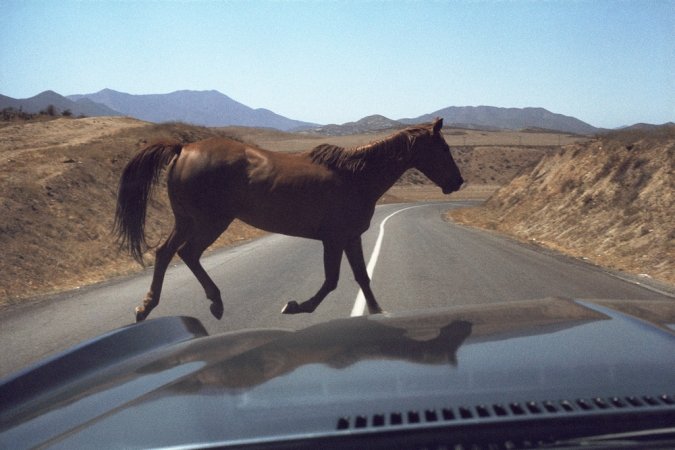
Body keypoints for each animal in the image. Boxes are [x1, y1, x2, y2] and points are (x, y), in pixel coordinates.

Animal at [115, 116, 464, 320]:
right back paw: (213, 302)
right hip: (210, 222)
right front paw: (297, 306)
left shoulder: (351, 237)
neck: (356, 177)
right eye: (445, 148)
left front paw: (378, 311)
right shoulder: (333, 239)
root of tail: (183, 148)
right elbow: (332, 281)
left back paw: (148, 306)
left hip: (187, 220)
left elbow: (362, 278)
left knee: (166, 253)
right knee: (186, 253)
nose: (458, 182)